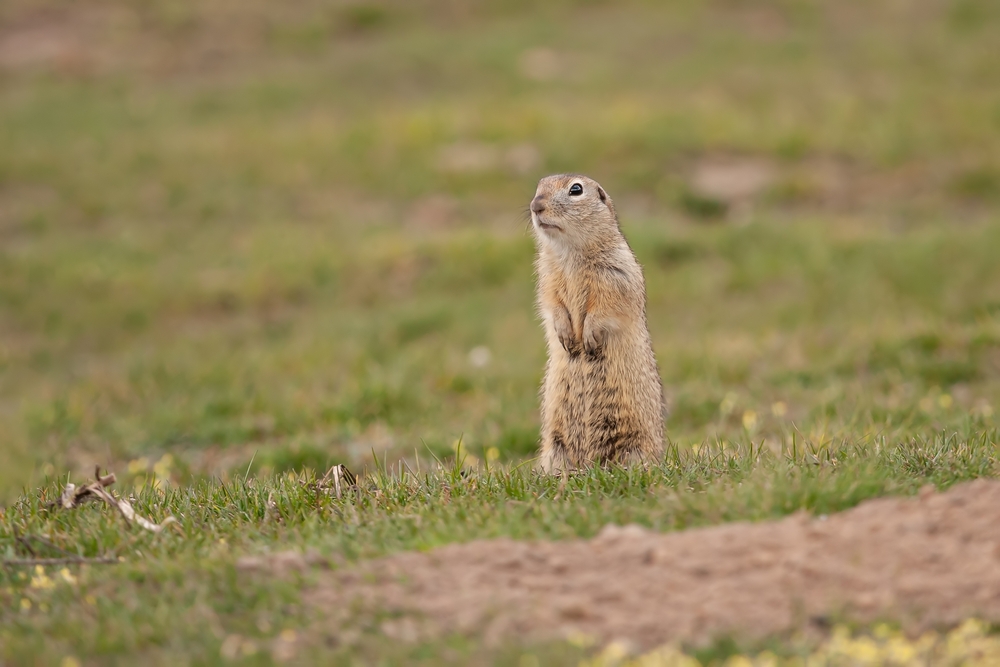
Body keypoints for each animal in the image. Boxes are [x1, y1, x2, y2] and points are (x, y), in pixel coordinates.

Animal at [532, 175, 664, 472]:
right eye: (538, 186)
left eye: (576, 189)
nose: (536, 206)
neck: (569, 251)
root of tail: (588, 463)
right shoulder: (546, 275)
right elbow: (551, 303)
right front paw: (566, 335)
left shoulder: (616, 272)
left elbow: (607, 305)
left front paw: (589, 337)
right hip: (555, 444)